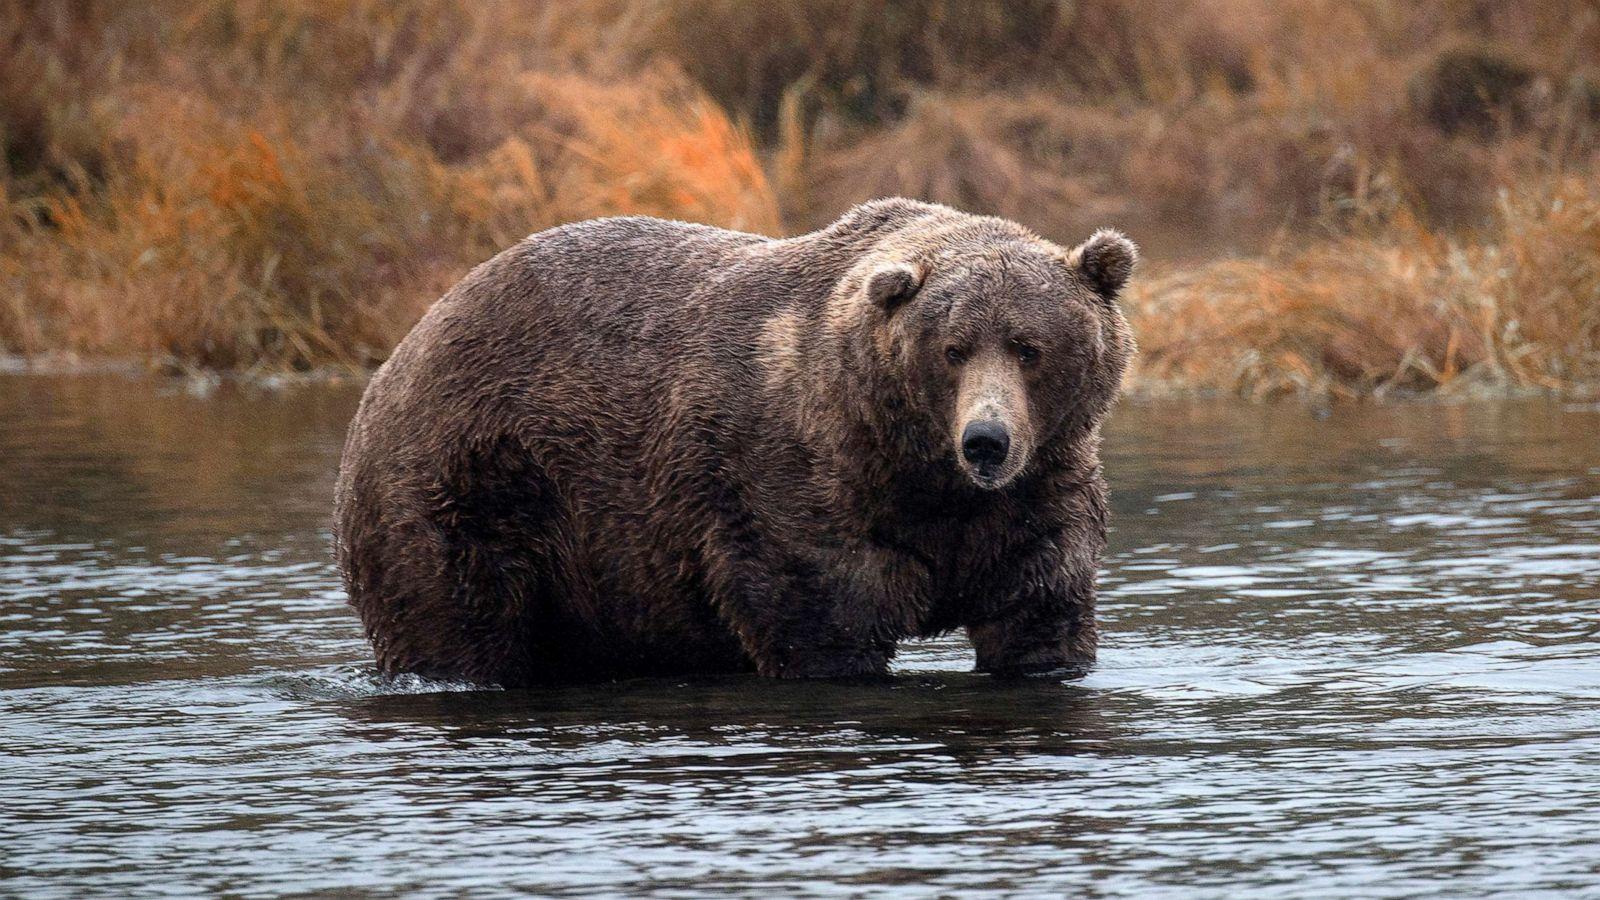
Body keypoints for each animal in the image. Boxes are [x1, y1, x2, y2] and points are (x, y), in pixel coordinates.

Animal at [333, 198, 1137, 685]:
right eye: (952, 349)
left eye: (1029, 347)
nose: (986, 441)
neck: (913, 470)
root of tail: (401, 352)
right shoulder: (794, 486)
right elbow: (824, 619)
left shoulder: (1035, 496)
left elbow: (1038, 610)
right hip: (472, 484)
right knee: (457, 617)